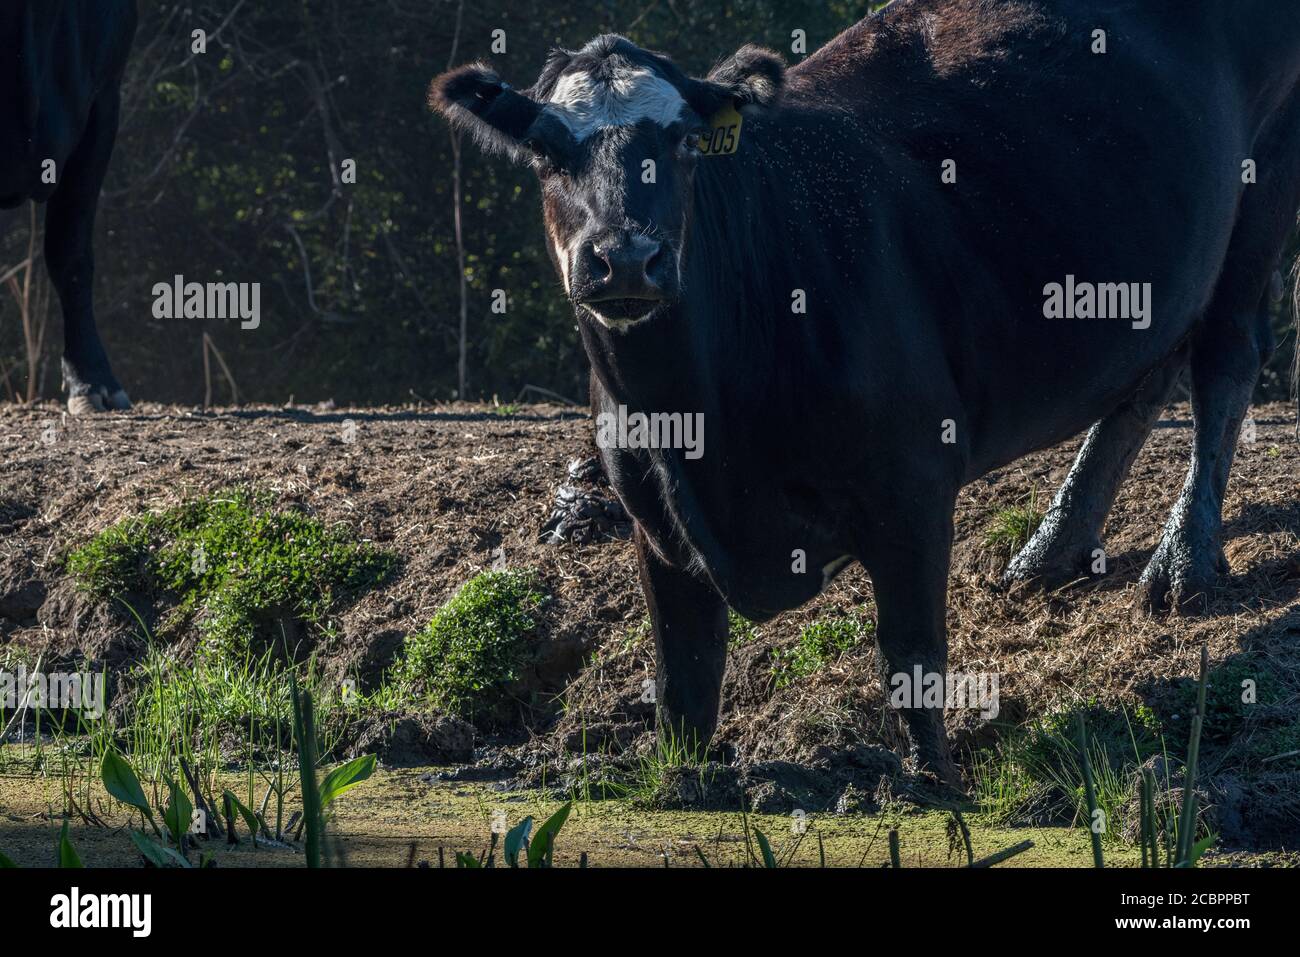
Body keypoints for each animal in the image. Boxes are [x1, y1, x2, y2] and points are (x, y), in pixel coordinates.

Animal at [430, 0, 1300, 786]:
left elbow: (911, 655)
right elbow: (685, 681)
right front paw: (680, 779)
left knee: (1224, 357)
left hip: (1262, 186)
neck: (696, 420)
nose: (625, 257)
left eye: (681, 141)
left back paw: (1184, 560)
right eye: (547, 147)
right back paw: (1053, 546)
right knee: (1150, 364)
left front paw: (930, 780)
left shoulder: (912, 482)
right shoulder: (654, 520)